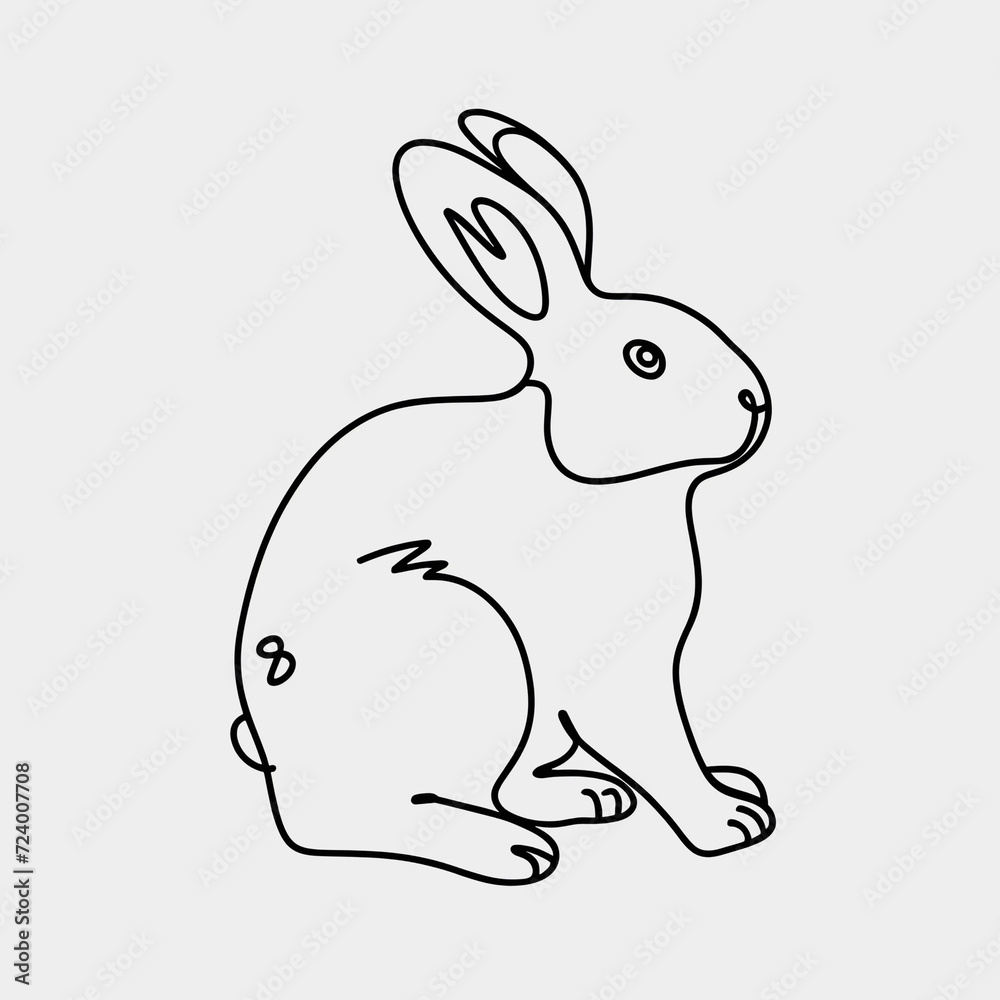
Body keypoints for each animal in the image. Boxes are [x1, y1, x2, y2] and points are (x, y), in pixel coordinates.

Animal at [231, 109, 776, 886]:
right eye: (646, 359)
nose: (756, 402)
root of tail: (276, 752)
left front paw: (734, 789)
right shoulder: (619, 666)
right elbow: (657, 740)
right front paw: (727, 821)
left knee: (504, 783)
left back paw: (587, 799)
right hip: (469, 642)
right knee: (353, 821)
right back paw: (510, 850)